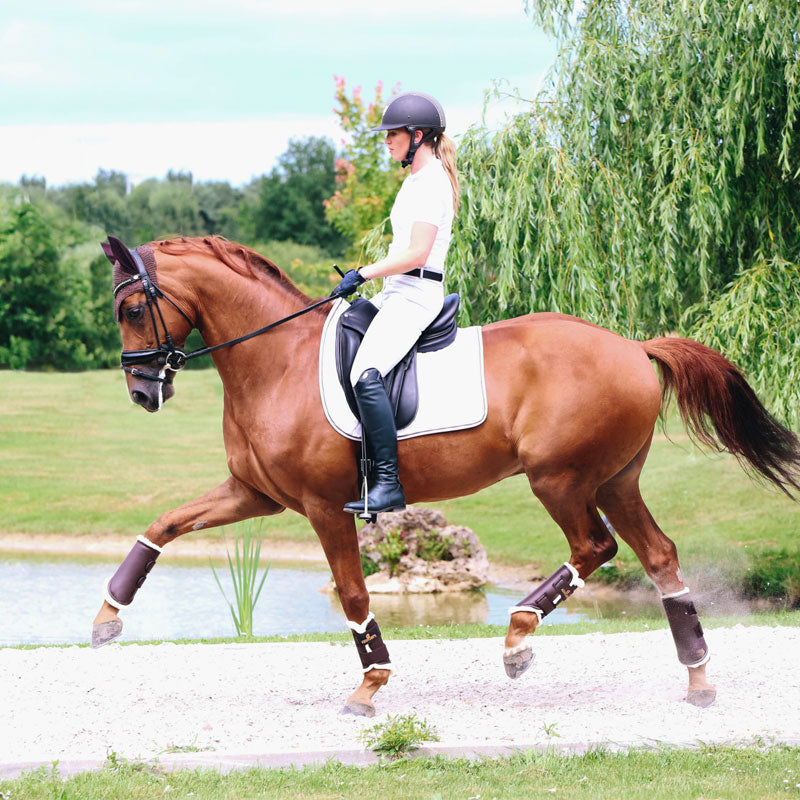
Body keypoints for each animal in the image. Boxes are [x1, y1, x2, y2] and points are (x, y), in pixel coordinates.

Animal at [94, 234, 800, 715]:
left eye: (132, 310)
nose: (142, 392)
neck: (276, 361)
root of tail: (633, 346)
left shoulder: (324, 508)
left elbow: (353, 594)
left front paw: (370, 683)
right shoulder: (254, 495)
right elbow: (166, 523)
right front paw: (107, 616)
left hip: (560, 480)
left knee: (596, 546)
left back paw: (517, 638)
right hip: (615, 481)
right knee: (659, 557)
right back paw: (698, 678)